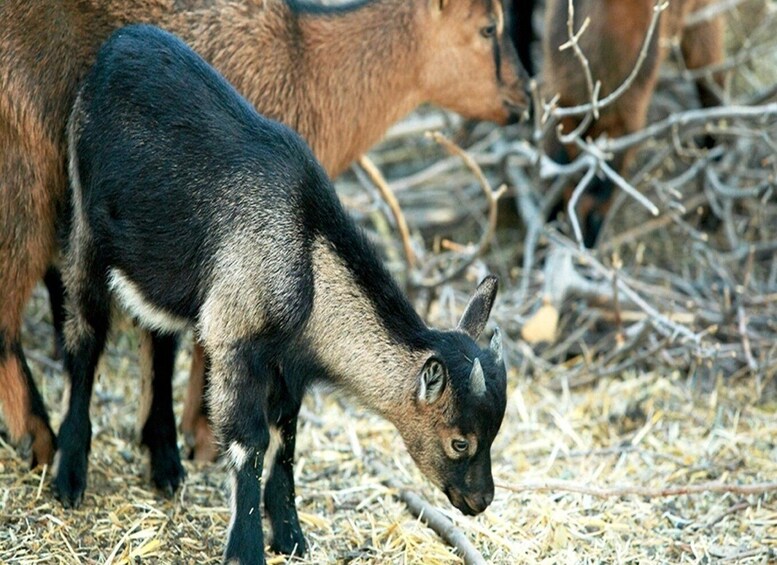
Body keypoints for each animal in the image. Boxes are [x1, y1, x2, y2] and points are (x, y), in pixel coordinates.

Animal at [0, 0, 528, 474]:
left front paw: (177, 442)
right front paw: (204, 440)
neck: (307, 61)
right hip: (29, 179)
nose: (525, 98)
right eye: (488, 28)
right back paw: (40, 440)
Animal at [62, 25, 508, 564]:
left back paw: (166, 466)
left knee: (157, 336)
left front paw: (292, 538)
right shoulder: (235, 341)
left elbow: (286, 443)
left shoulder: (287, 369)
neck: (309, 265)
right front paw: (247, 548)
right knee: (85, 333)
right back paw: (69, 477)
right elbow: (250, 445)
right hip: (85, 222)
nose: (480, 501)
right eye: (460, 441)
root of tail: (118, 43)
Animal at [543, 0, 725, 246]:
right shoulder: (560, 109)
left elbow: (597, 201)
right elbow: (557, 185)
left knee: (713, 90)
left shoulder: (626, 125)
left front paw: (585, 249)